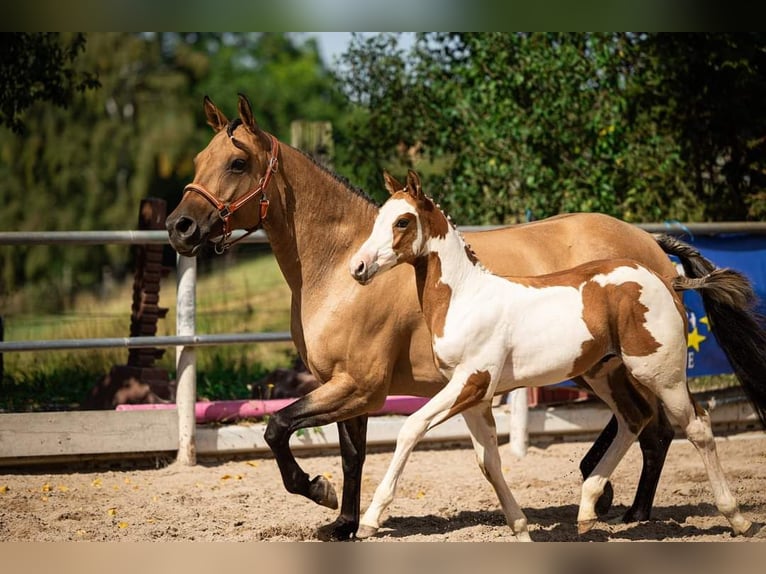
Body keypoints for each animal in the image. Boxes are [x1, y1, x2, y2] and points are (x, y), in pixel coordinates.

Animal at [352, 169, 760, 544]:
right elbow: (489, 462)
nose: (359, 268)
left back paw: (736, 519)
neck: (466, 297)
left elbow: (411, 428)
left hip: (662, 374)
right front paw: (521, 529)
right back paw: (588, 509)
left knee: (696, 426)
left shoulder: (472, 381)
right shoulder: (474, 397)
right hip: (605, 373)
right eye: (379, 218)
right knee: (634, 419)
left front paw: (370, 521)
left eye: (402, 221)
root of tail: (665, 280)